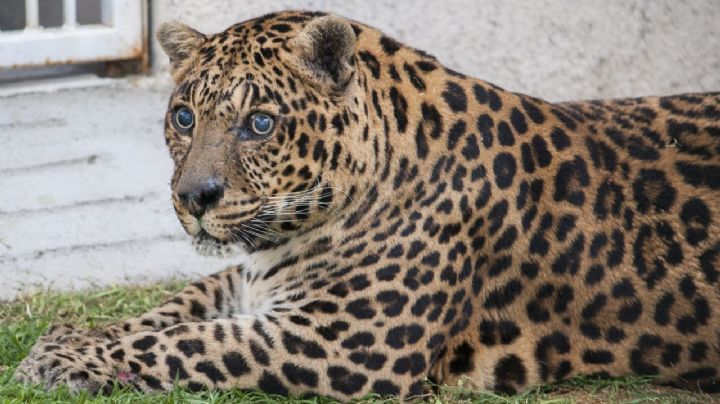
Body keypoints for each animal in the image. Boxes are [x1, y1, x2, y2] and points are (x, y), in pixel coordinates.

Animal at [14, 10, 720, 400]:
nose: (194, 197)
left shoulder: (345, 343)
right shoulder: (252, 279)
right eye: (184, 117)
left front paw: (63, 360)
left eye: (260, 124)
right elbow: (173, 309)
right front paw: (68, 339)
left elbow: (191, 343)